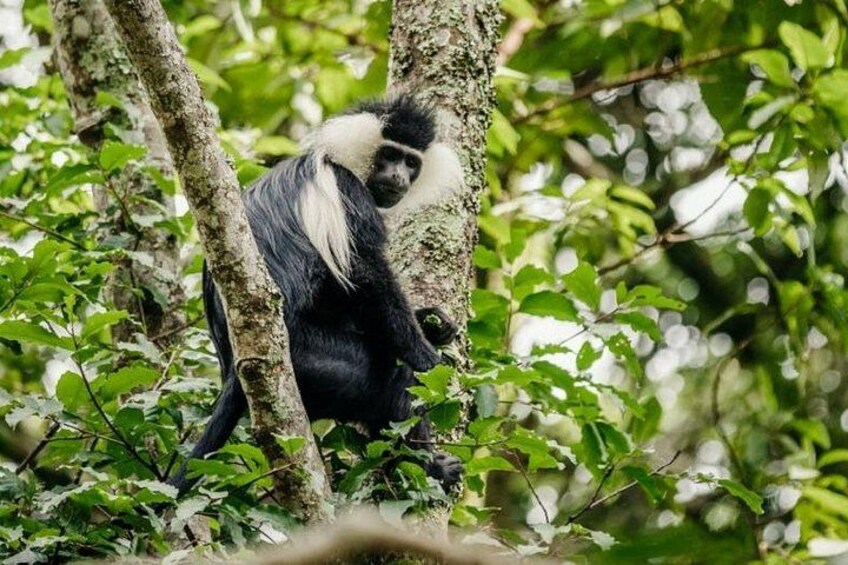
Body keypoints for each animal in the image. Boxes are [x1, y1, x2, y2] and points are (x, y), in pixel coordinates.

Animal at [170, 96, 465, 495]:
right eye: (389, 156)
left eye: (412, 163)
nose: (399, 178)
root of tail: (235, 369)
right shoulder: (347, 193)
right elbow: (366, 275)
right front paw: (426, 355)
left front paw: (434, 322)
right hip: (316, 360)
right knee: (393, 377)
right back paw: (425, 465)